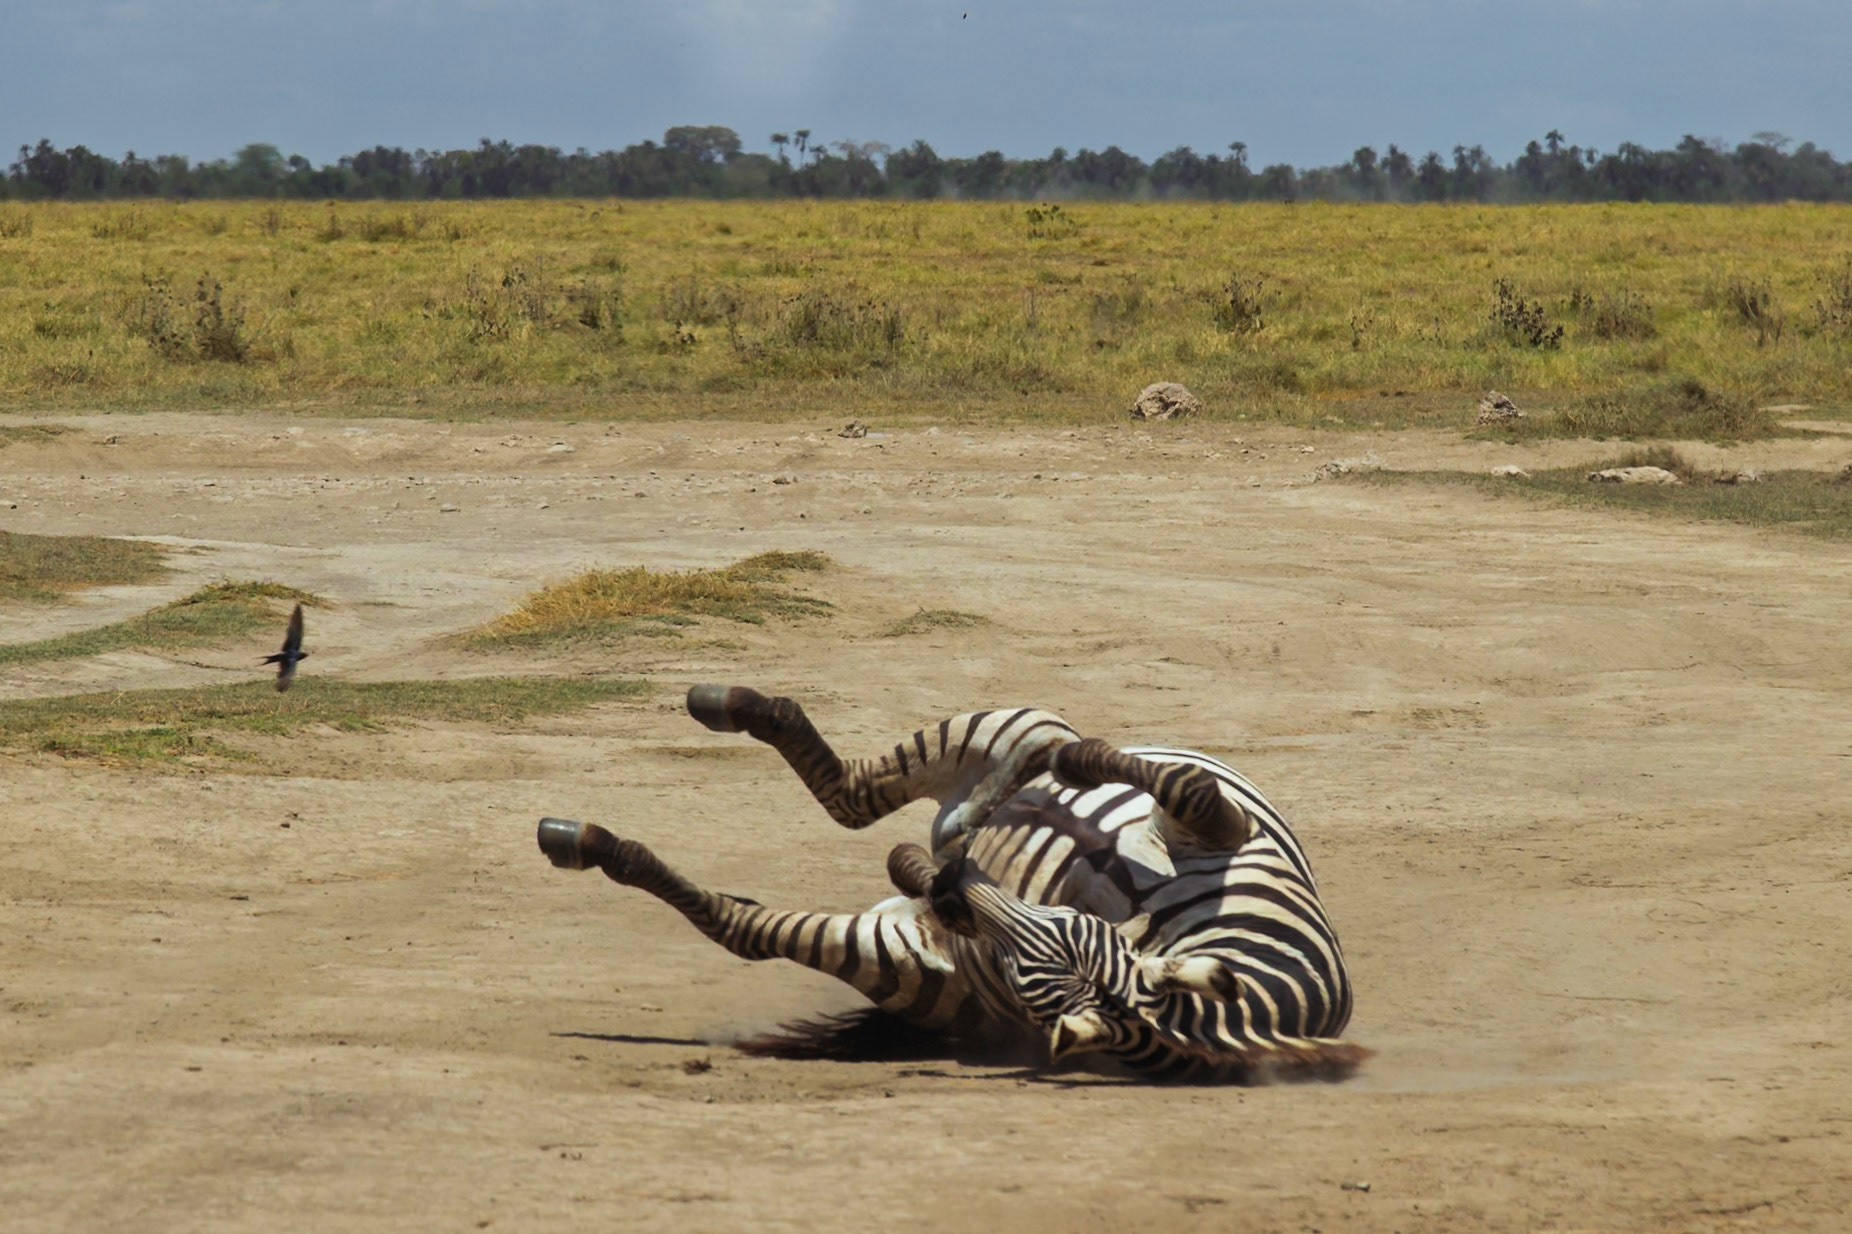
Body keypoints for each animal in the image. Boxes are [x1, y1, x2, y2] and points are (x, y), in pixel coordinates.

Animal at [536, 684, 1365, 1080]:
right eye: (1069, 923)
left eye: (1024, 968)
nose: (948, 888)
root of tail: (953, 816)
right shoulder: (1225, 831)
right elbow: (1180, 784)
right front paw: (1078, 766)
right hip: (1010, 725)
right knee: (867, 787)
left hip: (896, 954)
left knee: (763, 907)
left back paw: (582, 841)